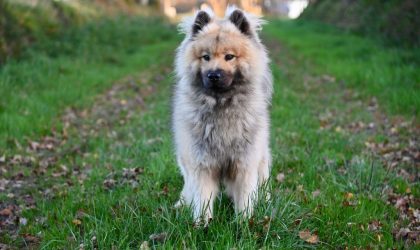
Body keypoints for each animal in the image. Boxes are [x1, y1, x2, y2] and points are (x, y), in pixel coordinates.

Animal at [173, 6, 274, 223]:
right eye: (206, 57)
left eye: (229, 57)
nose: (214, 75)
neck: (221, 106)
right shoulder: (201, 165)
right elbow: (202, 198)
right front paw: (202, 224)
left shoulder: (245, 164)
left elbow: (245, 198)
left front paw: (244, 223)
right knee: (188, 187)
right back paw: (182, 204)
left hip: (261, 158)